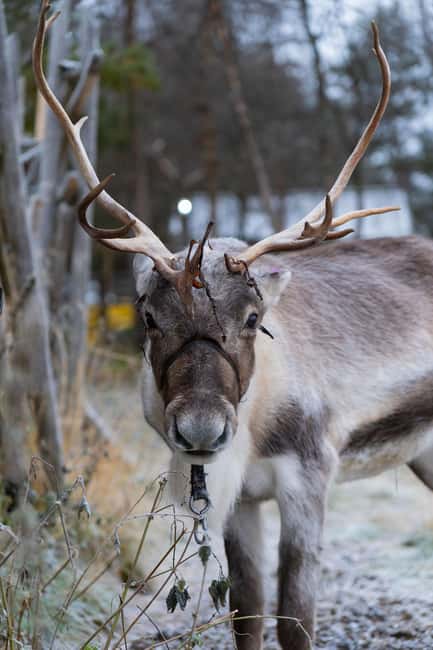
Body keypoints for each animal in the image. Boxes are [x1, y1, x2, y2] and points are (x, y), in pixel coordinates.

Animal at [33, 2, 433, 649]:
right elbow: (247, 610)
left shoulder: (308, 477)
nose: (201, 430)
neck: (258, 421)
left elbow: (296, 617)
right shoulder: (240, 500)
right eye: (149, 315)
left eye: (253, 317)